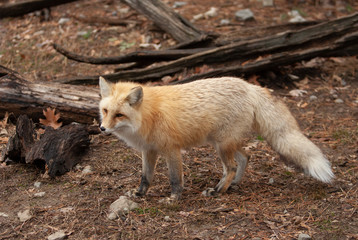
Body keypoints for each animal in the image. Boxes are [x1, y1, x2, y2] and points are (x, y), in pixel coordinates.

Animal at [99, 77, 334, 201]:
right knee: (245, 157)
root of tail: (248, 86)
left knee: (230, 167)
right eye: (105, 111)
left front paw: (174, 199)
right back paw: (233, 184)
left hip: (221, 145)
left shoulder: (171, 149)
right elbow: (145, 177)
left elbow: (175, 179)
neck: (149, 115)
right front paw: (139, 194)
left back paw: (219, 190)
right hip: (221, 142)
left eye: (119, 115)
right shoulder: (149, 150)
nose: (102, 128)